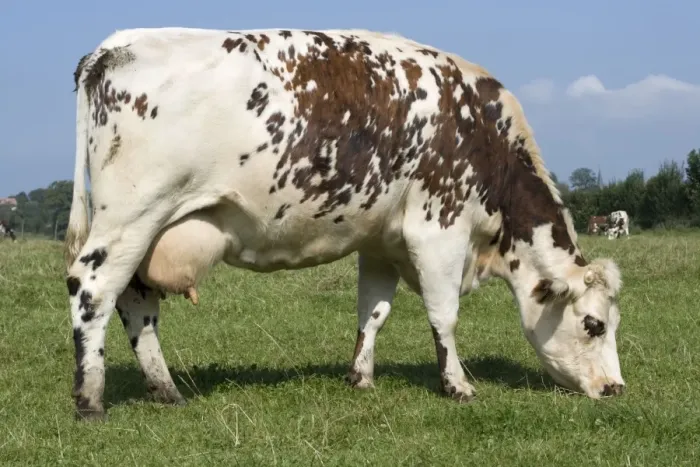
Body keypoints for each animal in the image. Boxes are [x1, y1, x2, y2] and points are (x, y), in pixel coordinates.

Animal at [65, 27, 626, 421]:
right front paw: (458, 386)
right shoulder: (438, 229)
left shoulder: (380, 240)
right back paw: (90, 399)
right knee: (91, 289)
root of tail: (113, 47)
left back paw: (166, 390)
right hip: (132, 216)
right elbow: (444, 316)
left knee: (136, 301)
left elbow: (372, 312)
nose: (616, 389)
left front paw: (361, 376)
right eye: (594, 324)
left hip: (146, 230)